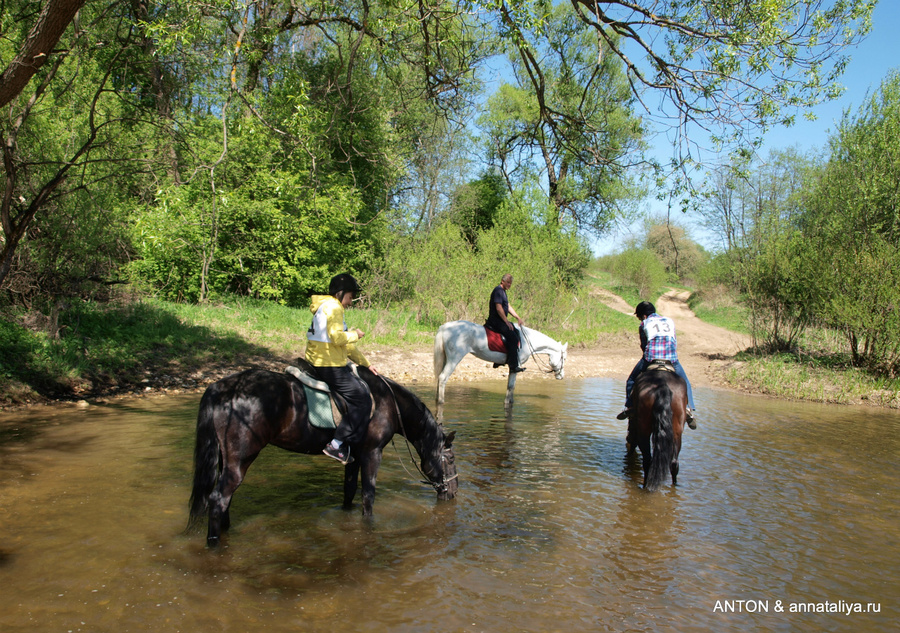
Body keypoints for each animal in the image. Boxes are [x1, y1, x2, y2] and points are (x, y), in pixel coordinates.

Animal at [188, 362, 458, 544]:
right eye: (451, 459)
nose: (453, 492)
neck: (389, 403)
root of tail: (224, 388)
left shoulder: (354, 456)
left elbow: (349, 491)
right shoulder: (372, 454)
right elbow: (368, 496)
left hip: (225, 460)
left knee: (225, 500)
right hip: (240, 461)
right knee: (218, 499)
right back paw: (213, 544)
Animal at [432, 320, 568, 410]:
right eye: (564, 358)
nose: (561, 376)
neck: (527, 340)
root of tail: (445, 327)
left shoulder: (511, 368)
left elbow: (510, 387)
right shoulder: (515, 367)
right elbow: (511, 387)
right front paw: (508, 403)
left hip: (445, 358)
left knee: (439, 378)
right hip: (454, 359)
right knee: (443, 378)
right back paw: (441, 402)